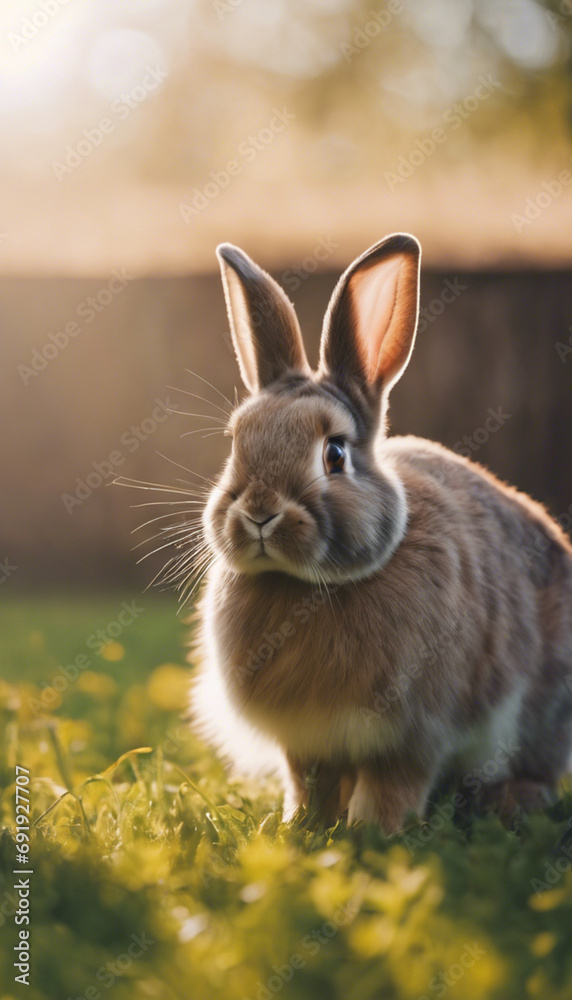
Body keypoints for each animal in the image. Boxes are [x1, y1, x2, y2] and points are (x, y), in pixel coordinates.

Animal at [191, 233, 572, 832]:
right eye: (236, 443)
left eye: (335, 454)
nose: (258, 512)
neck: (309, 587)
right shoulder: (307, 744)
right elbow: (307, 781)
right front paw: (300, 827)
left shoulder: (415, 735)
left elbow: (394, 785)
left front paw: (373, 832)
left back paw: (514, 800)